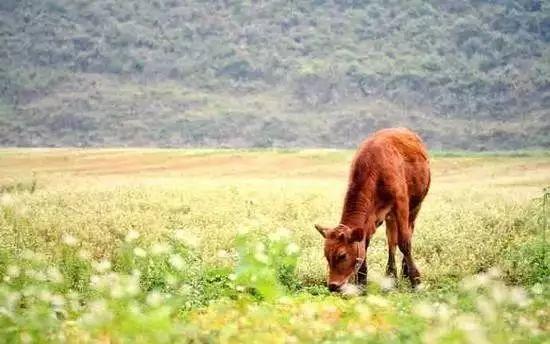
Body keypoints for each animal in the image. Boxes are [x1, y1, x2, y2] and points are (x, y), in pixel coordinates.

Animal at [314, 127, 432, 292]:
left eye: (342, 255)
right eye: (326, 255)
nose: (333, 285)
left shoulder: (401, 203)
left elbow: (404, 242)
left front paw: (416, 280)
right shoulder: (371, 217)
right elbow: (366, 243)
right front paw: (362, 281)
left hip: (415, 206)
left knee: (408, 233)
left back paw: (404, 272)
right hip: (391, 216)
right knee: (391, 240)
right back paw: (391, 275)